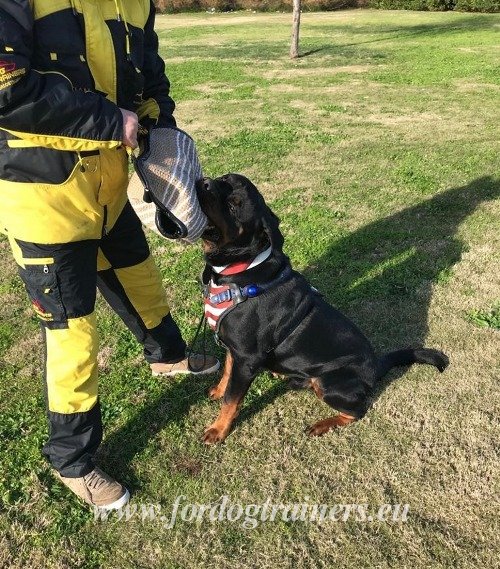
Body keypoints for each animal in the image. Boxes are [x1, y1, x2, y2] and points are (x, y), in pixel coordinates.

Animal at [195, 173, 450, 444]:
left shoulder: (247, 358)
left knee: (358, 411)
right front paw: (218, 391)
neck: (242, 270)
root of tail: (376, 365)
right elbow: (227, 373)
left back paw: (322, 424)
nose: (204, 181)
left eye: (234, 205)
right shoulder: (235, 351)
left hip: (329, 383)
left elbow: (232, 400)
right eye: (224, 178)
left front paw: (218, 429)